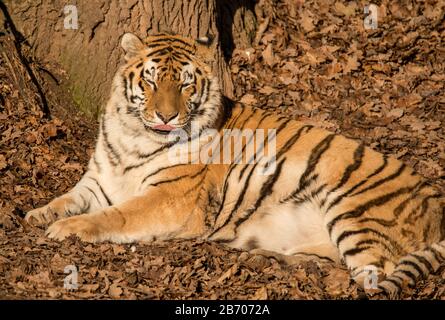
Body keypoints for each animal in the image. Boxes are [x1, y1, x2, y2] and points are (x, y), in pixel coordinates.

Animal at [25, 32, 444, 298]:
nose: (166, 117)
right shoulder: (99, 179)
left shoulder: (172, 197)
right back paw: (271, 256)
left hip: (354, 209)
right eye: (150, 81)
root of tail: (437, 200)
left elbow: (118, 215)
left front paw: (68, 229)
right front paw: (37, 214)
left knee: (374, 272)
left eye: (185, 84)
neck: (135, 136)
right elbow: (67, 198)